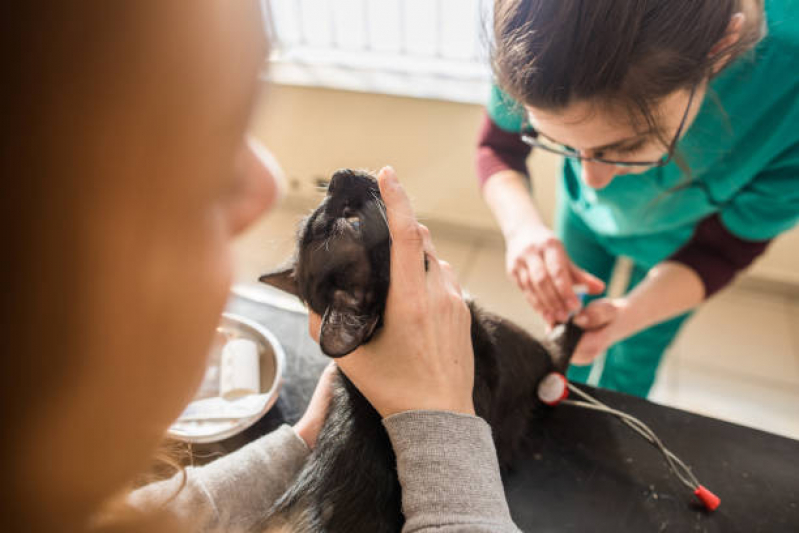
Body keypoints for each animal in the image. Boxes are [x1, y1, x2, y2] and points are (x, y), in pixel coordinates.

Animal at [260, 168, 580, 528]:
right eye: (354, 224)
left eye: (310, 218)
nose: (340, 176)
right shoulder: (529, 357)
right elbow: (559, 349)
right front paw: (577, 314)